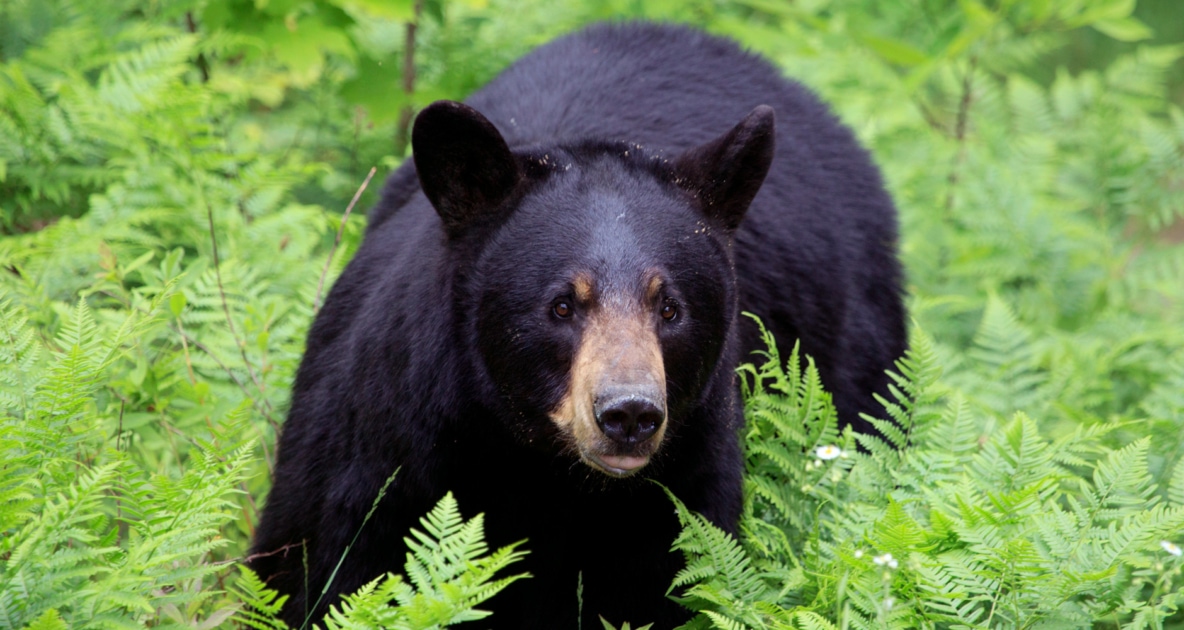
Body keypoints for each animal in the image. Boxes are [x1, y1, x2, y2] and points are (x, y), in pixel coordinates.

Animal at [252, 22, 904, 630]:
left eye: (671, 308)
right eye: (562, 305)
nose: (629, 414)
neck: (543, 472)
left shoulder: (684, 487)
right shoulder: (382, 451)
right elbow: (325, 565)